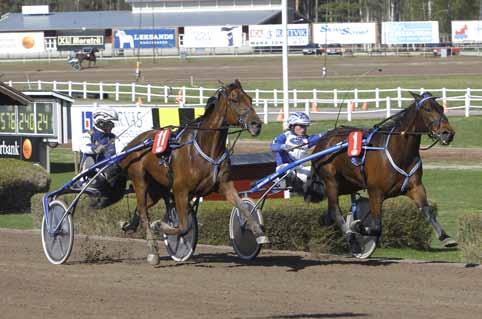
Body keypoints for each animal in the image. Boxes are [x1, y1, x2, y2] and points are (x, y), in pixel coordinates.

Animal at [117, 80, 268, 264]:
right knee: (144, 213)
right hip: (140, 180)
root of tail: (132, 144)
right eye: (234, 100)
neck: (206, 148)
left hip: (156, 188)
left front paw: (258, 233)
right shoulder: (180, 190)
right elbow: (183, 226)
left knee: (141, 208)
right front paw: (161, 225)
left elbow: (243, 207)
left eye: (250, 99)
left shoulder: (225, 185)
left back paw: (130, 226)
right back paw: (153, 252)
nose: (256, 124)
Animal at [306, 91, 458, 251]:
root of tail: (322, 141)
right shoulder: (375, 192)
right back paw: (352, 241)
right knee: (335, 210)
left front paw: (445, 237)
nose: (448, 133)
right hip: (331, 181)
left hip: (348, 184)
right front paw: (358, 227)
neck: (399, 151)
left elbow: (427, 210)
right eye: (427, 109)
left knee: (329, 212)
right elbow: (376, 226)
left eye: (442, 108)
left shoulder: (415, 187)